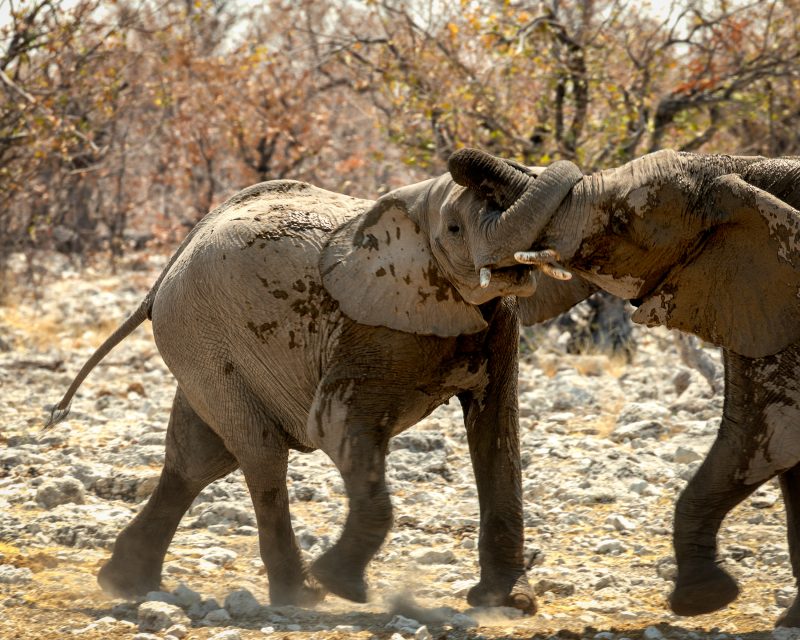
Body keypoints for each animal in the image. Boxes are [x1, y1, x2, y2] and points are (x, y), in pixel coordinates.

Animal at [45, 169, 592, 616]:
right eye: (456, 230)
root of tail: (179, 251)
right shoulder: (372, 325)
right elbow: (334, 426)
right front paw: (344, 586)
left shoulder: (499, 320)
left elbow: (497, 433)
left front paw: (511, 604)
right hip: (202, 332)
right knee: (260, 454)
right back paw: (302, 594)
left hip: (202, 344)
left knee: (199, 457)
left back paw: (125, 583)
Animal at [446, 148, 800, 628]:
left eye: (621, 223)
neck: (740, 168)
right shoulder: (750, 299)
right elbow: (774, 444)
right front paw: (768, 615)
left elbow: (764, 436)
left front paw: (702, 599)